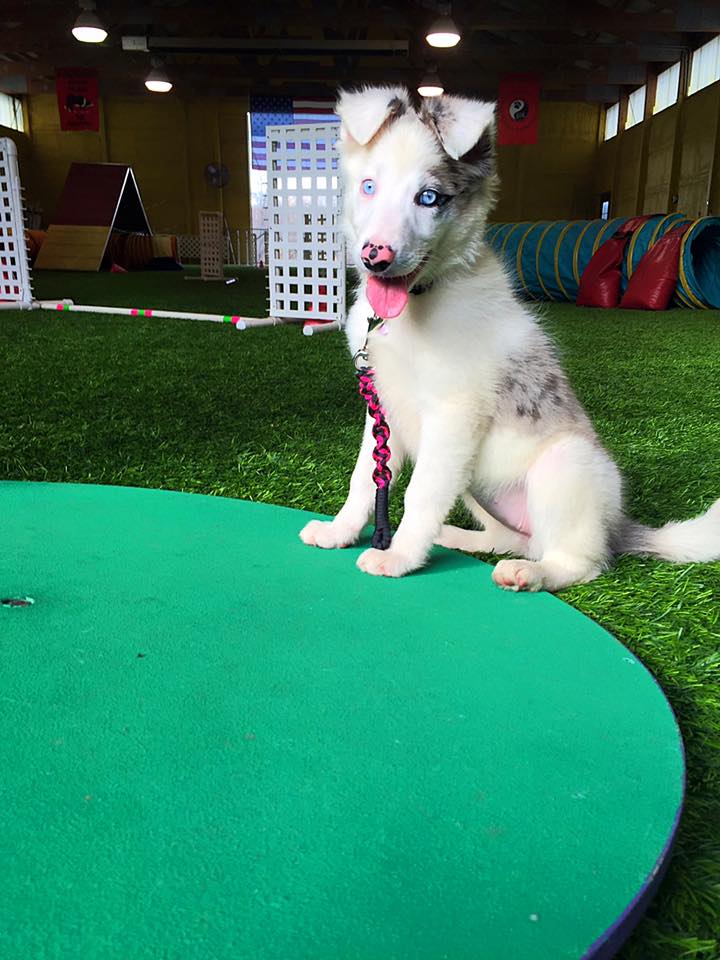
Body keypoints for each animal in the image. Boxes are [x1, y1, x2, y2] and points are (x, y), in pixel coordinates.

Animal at [300, 85, 720, 591]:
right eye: (368, 186)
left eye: (428, 197)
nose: (375, 256)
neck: (419, 303)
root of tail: (618, 527)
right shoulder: (383, 410)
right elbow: (365, 477)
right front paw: (341, 531)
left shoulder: (453, 414)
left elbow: (421, 492)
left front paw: (398, 556)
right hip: (479, 486)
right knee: (515, 538)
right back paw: (462, 538)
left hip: (563, 467)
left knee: (582, 563)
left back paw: (533, 573)